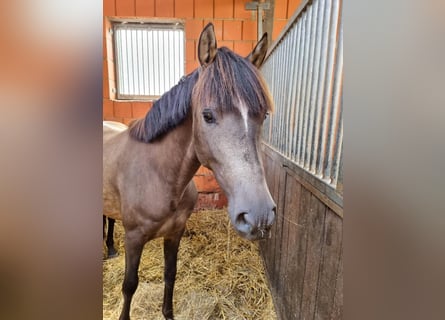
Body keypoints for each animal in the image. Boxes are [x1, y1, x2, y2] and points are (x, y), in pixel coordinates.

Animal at [104, 23, 278, 320]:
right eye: (207, 115)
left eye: (263, 115)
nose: (259, 216)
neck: (160, 176)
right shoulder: (134, 238)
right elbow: (129, 285)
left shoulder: (175, 232)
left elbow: (170, 274)